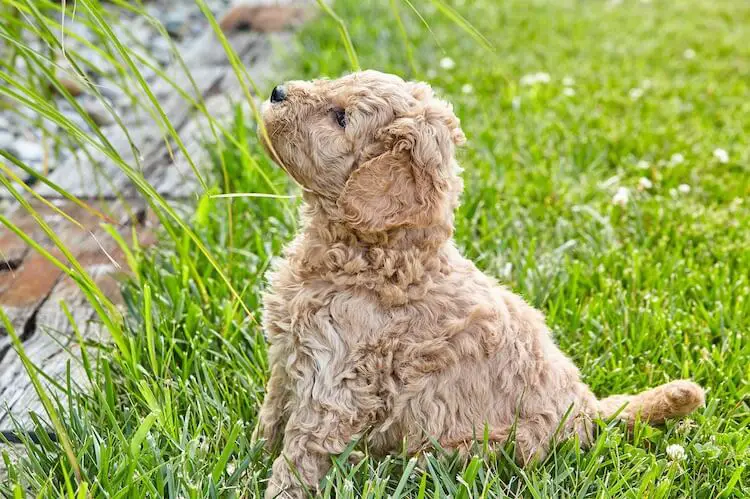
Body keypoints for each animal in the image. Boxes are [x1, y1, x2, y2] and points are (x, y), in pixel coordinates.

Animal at [258, 71, 704, 499]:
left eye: (341, 117)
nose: (277, 91)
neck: (373, 256)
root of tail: (590, 407)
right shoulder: (288, 357)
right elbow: (273, 412)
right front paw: (254, 452)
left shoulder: (337, 383)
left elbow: (302, 450)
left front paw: (279, 488)